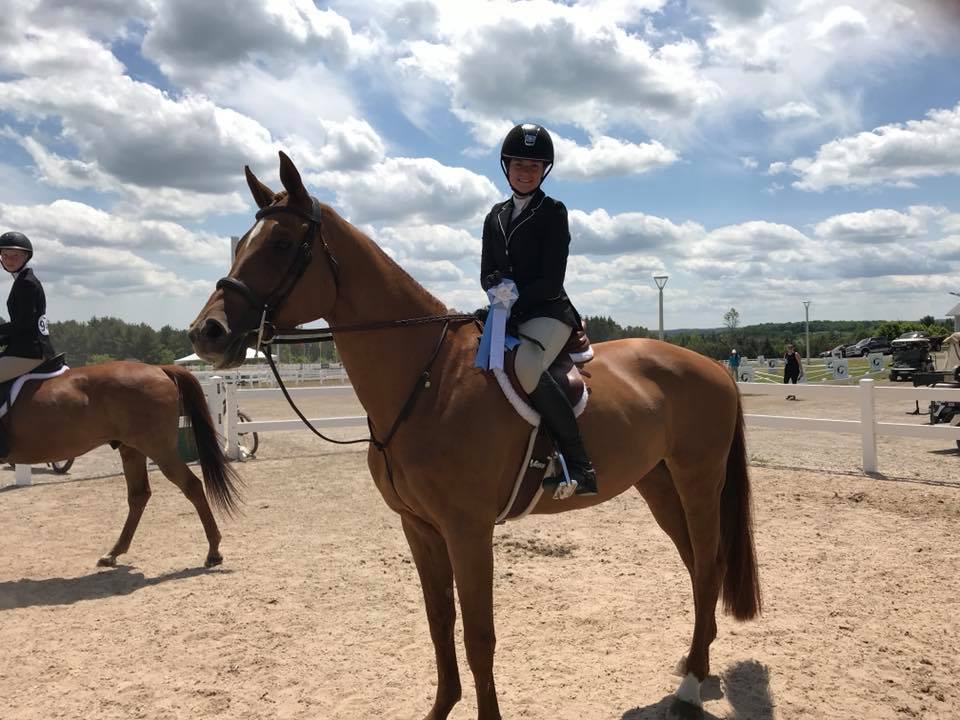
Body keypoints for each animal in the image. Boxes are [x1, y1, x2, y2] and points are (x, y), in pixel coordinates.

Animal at [1, 361, 241, 568]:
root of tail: (158, 368)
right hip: (132, 449)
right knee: (139, 495)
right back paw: (113, 553)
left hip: (158, 449)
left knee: (191, 486)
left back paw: (213, 552)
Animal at [189, 151, 761, 720]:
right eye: (241, 244)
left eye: (282, 244)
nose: (206, 333)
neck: (427, 378)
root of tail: (711, 365)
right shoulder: (419, 527)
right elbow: (439, 622)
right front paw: (440, 707)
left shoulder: (468, 529)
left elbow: (478, 635)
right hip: (658, 483)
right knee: (698, 566)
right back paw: (694, 664)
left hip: (698, 480)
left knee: (706, 565)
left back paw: (691, 684)